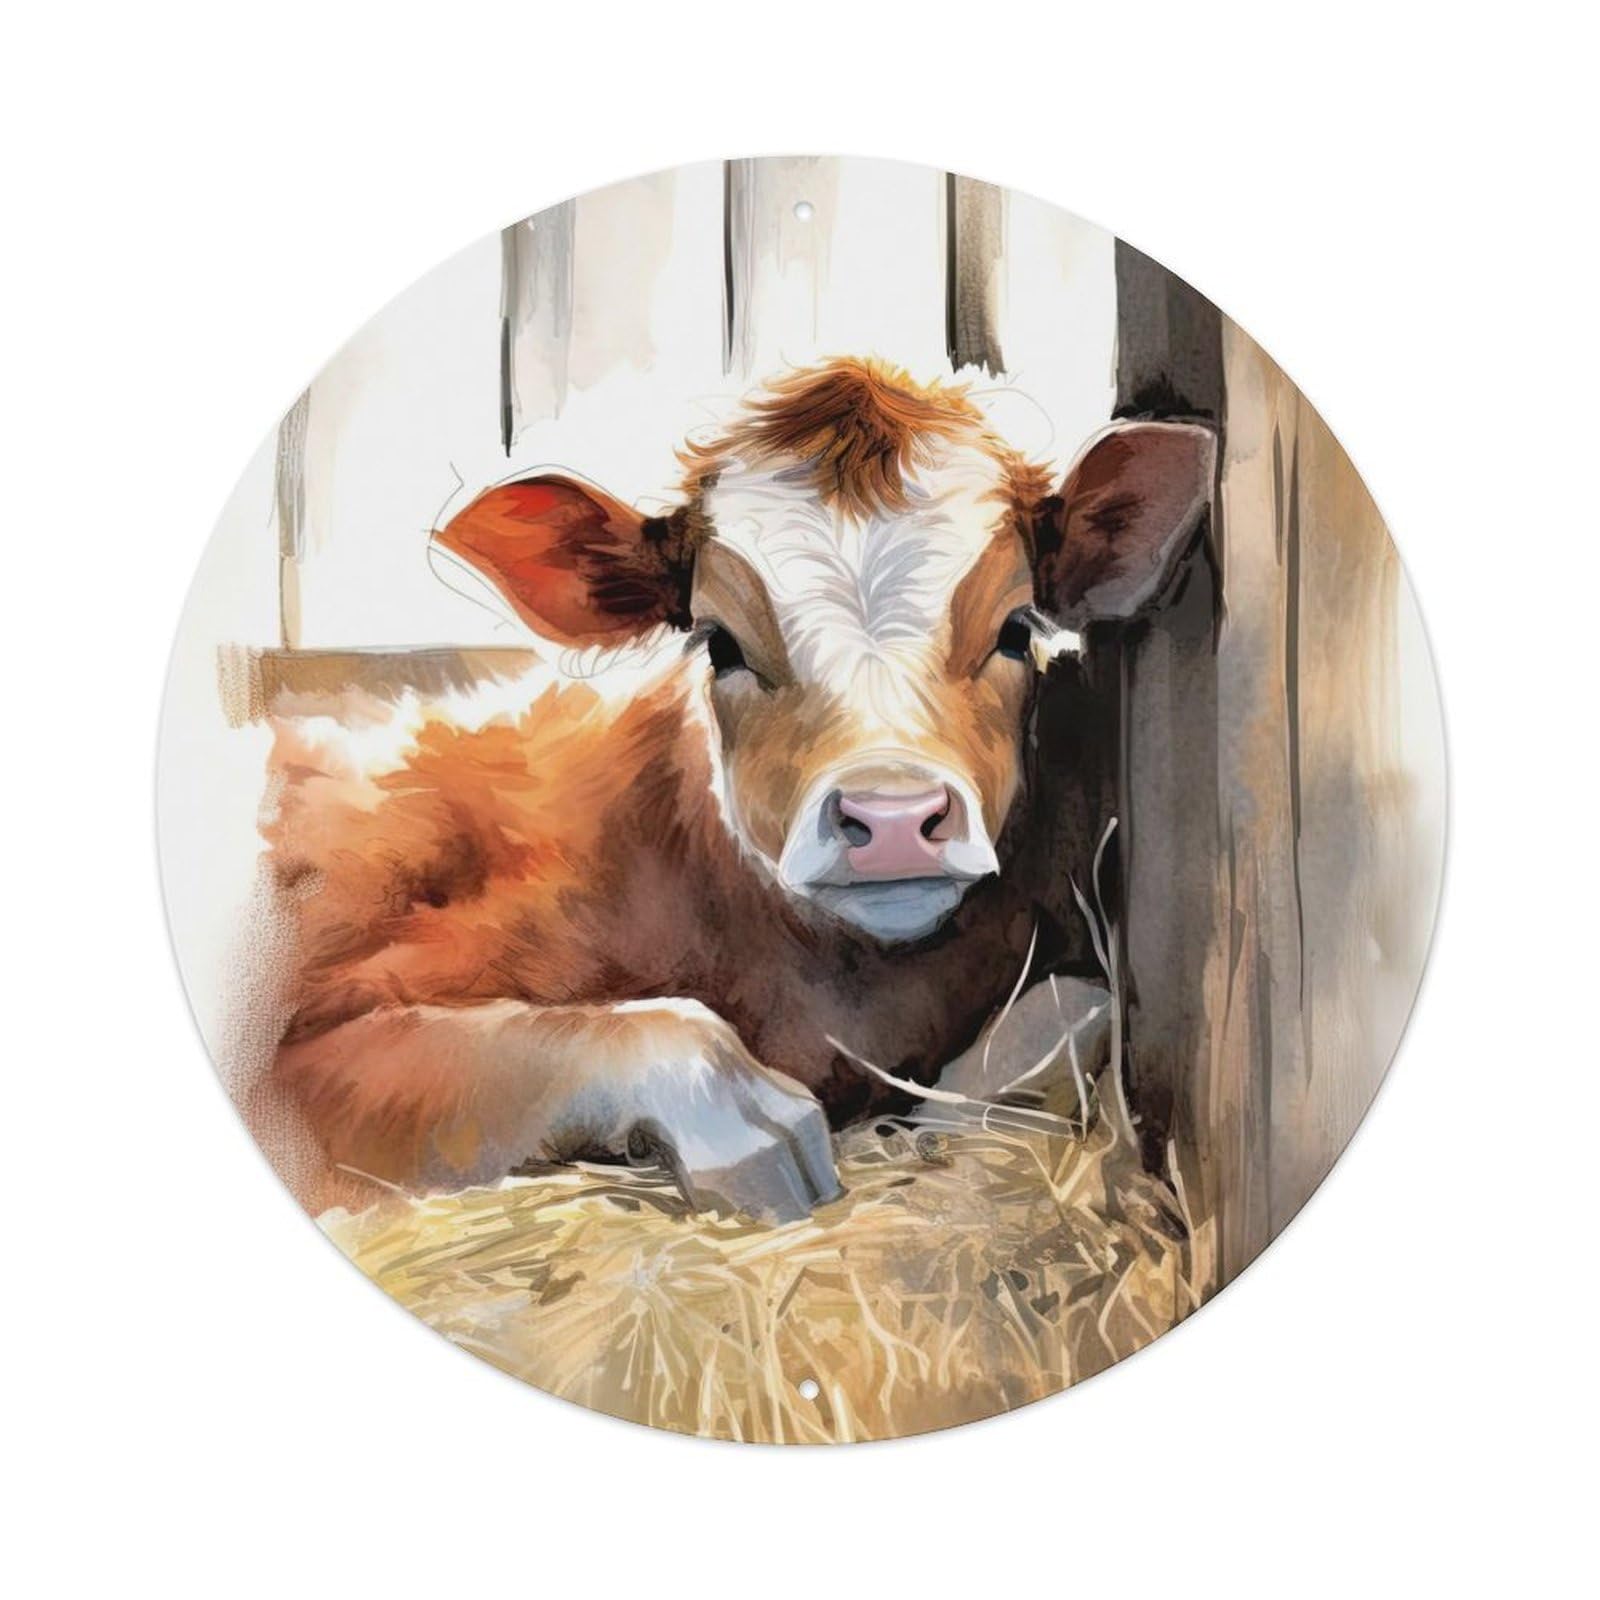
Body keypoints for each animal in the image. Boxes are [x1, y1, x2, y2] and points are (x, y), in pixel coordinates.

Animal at [252, 358, 1214, 1222]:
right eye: (720, 644)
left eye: (1016, 630)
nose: (892, 819)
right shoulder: (298, 1049)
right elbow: (638, 1030)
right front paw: (756, 1126)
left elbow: (1081, 1001)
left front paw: (943, 1116)